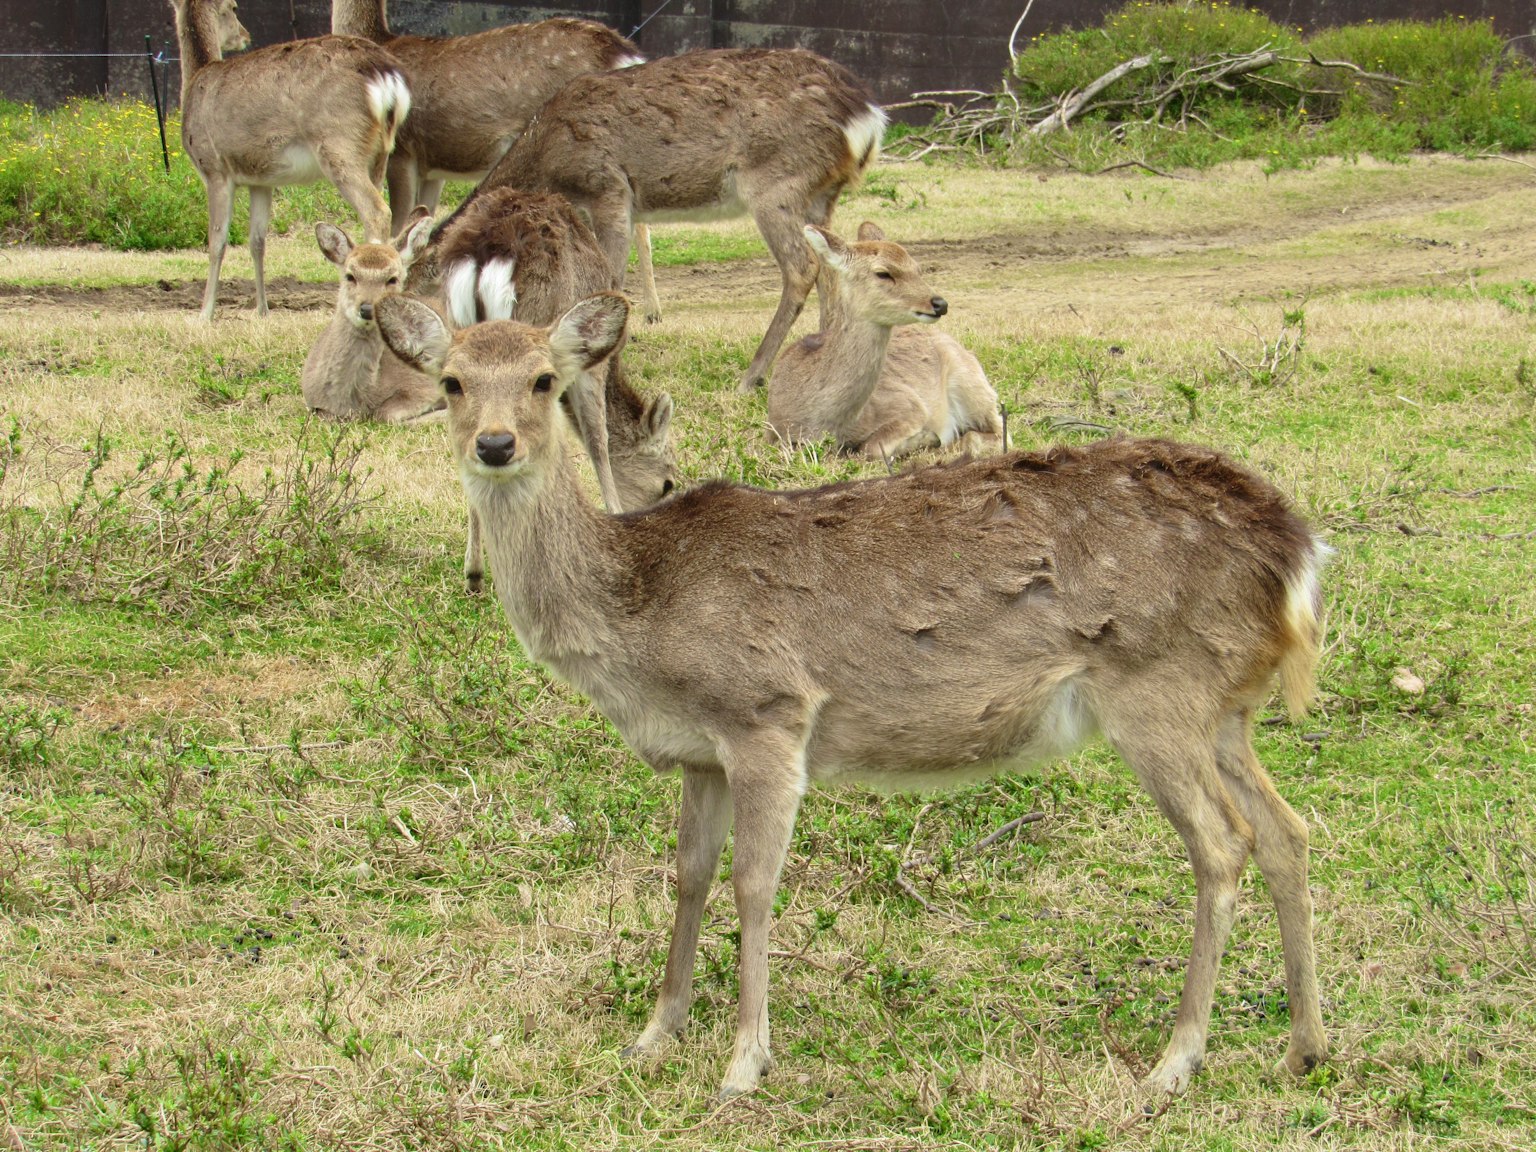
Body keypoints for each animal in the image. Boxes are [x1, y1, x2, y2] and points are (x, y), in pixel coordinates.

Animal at [170, 0, 410, 322]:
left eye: (233, 6)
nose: (245, 35)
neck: (194, 82)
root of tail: (387, 77)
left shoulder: (214, 168)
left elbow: (216, 242)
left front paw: (204, 313)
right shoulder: (260, 180)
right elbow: (257, 241)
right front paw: (262, 310)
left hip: (339, 144)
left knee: (376, 211)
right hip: (381, 152)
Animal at [374, 288, 1331, 1102]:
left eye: (544, 378)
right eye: (452, 381)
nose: (496, 443)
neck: (638, 617)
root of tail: (1298, 552)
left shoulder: (766, 713)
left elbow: (754, 882)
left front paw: (744, 1064)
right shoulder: (699, 752)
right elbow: (687, 875)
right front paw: (654, 1034)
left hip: (1156, 689)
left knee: (1224, 844)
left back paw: (1176, 1062)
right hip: (1223, 707)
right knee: (1288, 829)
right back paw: (1304, 1047)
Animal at [449, 48, 888, 389]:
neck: (546, 157)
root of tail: (869, 117)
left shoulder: (608, 187)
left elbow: (609, 280)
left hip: (776, 181)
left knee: (802, 266)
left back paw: (752, 375)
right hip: (820, 194)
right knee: (831, 266)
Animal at [768, 222, 1005, 461]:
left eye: (917, 268)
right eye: (883, 273)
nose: (940, 304)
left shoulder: (910, 406)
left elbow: (871, 448)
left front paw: (927, 439)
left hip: (973, 384)